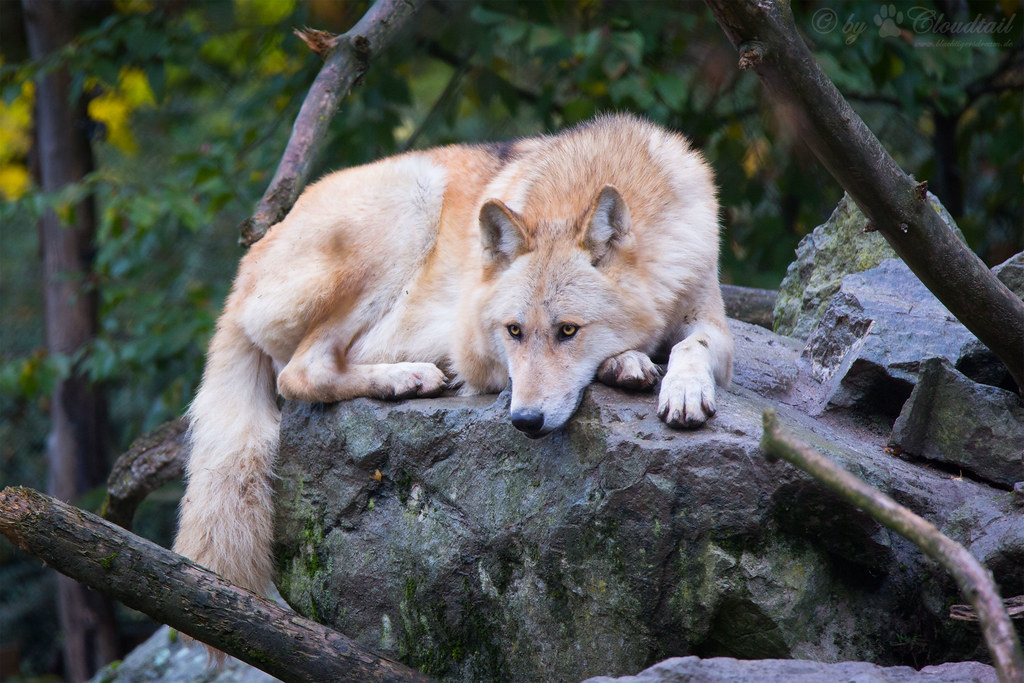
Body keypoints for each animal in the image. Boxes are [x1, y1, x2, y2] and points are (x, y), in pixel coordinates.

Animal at [174, 113, 733, 596]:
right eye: (513, 331)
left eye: (568, 331)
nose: (525, 421)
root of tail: (245, 266)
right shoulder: (473, 347)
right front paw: (634, 364)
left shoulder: (710, 313)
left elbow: (691, 343)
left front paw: (669, 383)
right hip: (410, 202)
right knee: (300, 373)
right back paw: (407, 378)